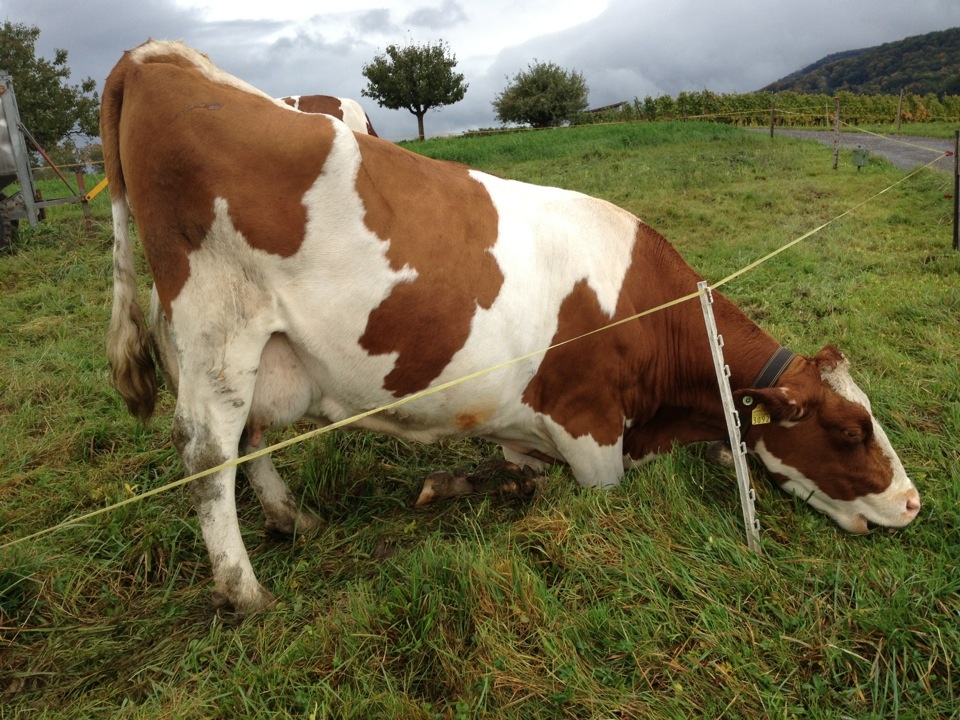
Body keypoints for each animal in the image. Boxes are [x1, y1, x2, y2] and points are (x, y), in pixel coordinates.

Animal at [101, 39, 920, 612]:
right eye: (849, 430)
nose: (913, 503)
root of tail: (157, 56)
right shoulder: (591, 425)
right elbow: (582, 495)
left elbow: (512, 475)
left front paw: (454, 485)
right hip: (218, 330)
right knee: (209, 454)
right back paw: (244, 591)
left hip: (260, 347)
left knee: (248, 438)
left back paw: (290, 518)